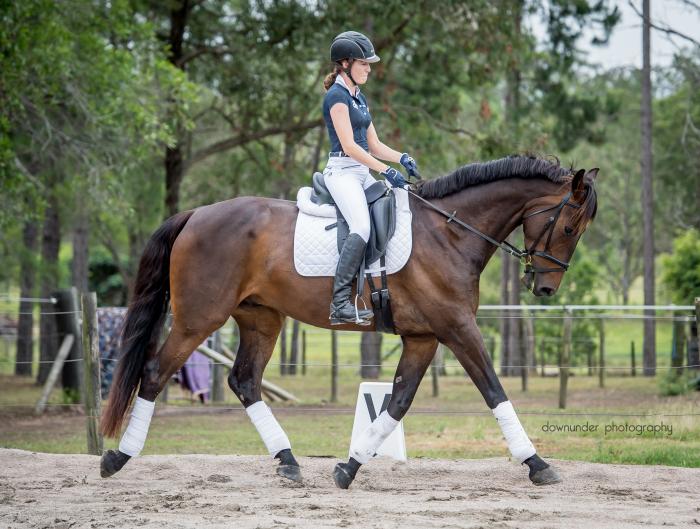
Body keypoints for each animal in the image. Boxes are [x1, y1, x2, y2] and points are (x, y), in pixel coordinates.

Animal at [99, 154, 598, 489]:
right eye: (569, 228)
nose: (546, 289)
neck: (449, 233)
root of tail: (195, 214)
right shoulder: (457, 329)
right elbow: (494, 390)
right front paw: (537, 464)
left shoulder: (423, 337)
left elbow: (397, 403)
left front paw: (348, 466)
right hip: (197, 319)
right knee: (154, 372)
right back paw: (117, 458)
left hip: (261, 319)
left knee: (244, 381)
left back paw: (289, 461)